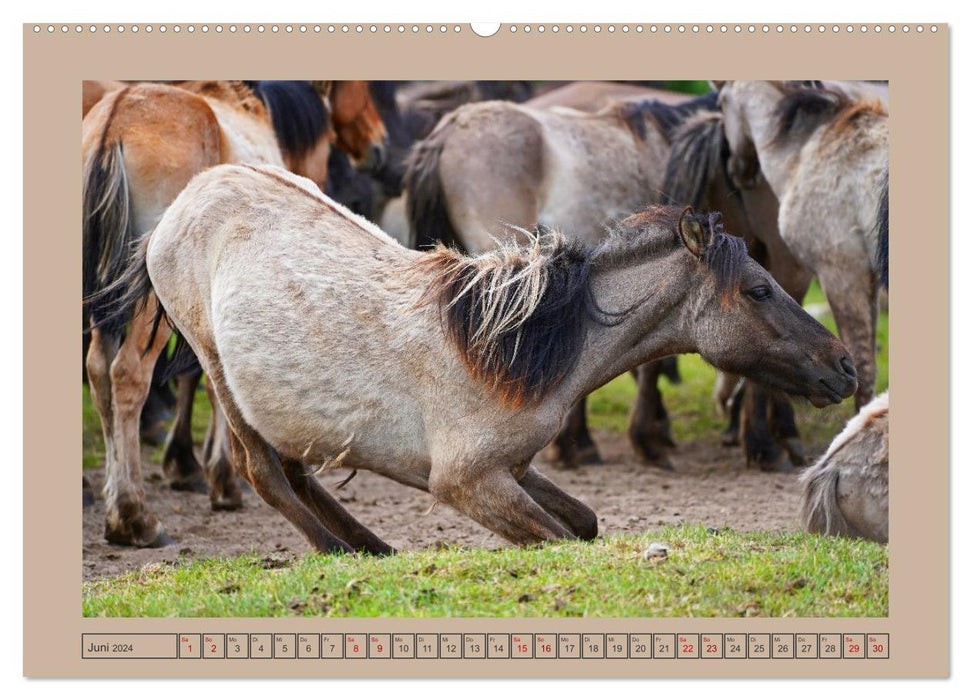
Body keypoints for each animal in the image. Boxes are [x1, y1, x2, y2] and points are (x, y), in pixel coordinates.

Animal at [82, 78, 388, 548]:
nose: (379, 146)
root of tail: (114, 121)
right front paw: (221, 480)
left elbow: (198, 378)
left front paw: (190, 465)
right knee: (128, 374)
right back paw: (137, 517)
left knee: (99, 370)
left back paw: (118, 512)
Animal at [102, 164, 856, 552]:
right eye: (757, 289)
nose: (845, 366)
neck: (518, 349)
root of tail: (187, 197)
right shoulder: (466, 483)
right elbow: (558, 537)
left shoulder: (513, 469)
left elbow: (583, 524)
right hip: (216, 370)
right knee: (264, 473)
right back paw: (347, 551)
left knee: (293, 469)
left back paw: (372, 550)